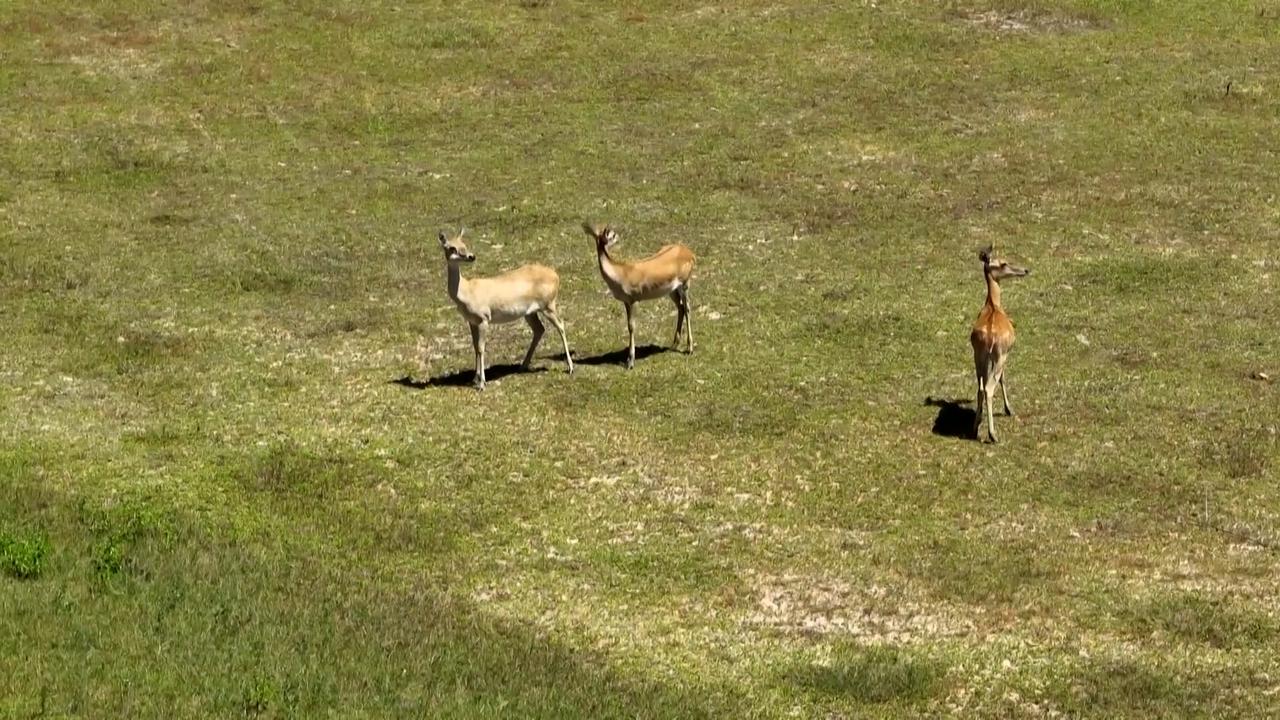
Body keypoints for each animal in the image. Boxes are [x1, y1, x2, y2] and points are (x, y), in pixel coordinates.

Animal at [437, 229, 573, 390]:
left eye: (464, 244)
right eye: (452, 247)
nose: (471, 256)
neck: (467, 291)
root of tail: (556, 275)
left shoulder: (484, 319)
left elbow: (481, 348)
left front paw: (482, 384)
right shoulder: (472, 321)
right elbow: (475, 347)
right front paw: (474, 379)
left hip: (548, 305)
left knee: (561, 325)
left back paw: (570, 368)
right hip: (530, 313)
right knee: (539, 329)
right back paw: (522, 366)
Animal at [582, 223, 696, 369]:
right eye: (612, 234)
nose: (619, 236)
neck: (621, 273)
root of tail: (689, 252)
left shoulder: (634, 300)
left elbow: (632, 326)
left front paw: (630, 361)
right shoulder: (626, 301)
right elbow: (628, 325)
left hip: (685, 284)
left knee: (687, 308)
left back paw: (690, 348)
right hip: (671, 290)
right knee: (681, 307)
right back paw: (674, 343)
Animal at [970, 245, 1030, 442]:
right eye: (1003, 262)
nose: (1025, 270)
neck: (993, 305)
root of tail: (989, 336)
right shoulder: (1006, 354)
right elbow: (1003, 378)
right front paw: (1009, 409)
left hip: (979, 356)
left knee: (980, 388)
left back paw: (975, 428)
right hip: (999, 356)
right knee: (989, 388)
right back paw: (993, 434)